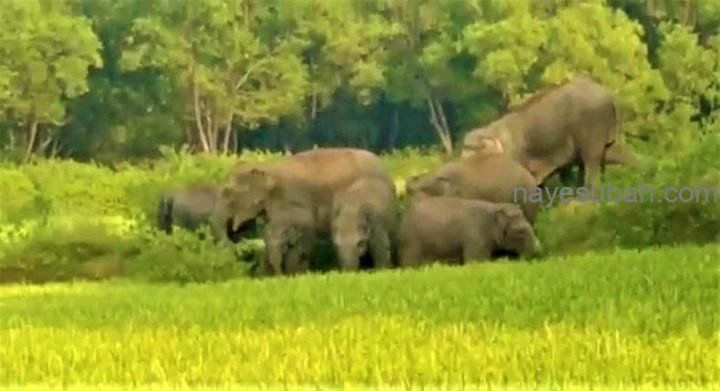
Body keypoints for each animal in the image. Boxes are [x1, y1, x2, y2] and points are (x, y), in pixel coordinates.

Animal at [396, 196, 544, 270]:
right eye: (520, 232)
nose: (539, 250)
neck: (495, 207)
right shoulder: (475, 237)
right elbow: (475, 261)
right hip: (411, 241)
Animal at [462, 75, 652, 191]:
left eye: (475, 154)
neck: (492, 130)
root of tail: (611, 97)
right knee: (616, 154)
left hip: (591, 125)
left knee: (592, 160)